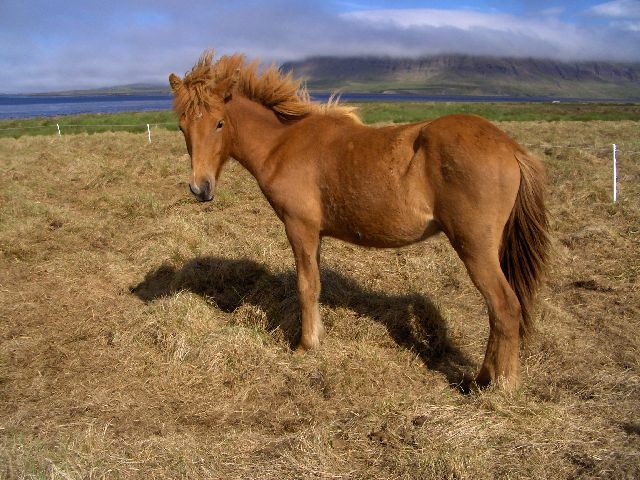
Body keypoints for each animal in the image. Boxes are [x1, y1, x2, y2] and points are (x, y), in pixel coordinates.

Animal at [170, 51, 552, 390]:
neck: (284, 143)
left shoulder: (299, 227)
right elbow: (316, 284)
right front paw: (317, 337)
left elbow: (305, 286)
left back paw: (497, 384)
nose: (200, 188)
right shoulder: (315, 234)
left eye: (219, 123)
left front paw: (304, 346)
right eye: (182, 126)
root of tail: (510, 147)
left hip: (474, 246)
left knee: (505, 307)